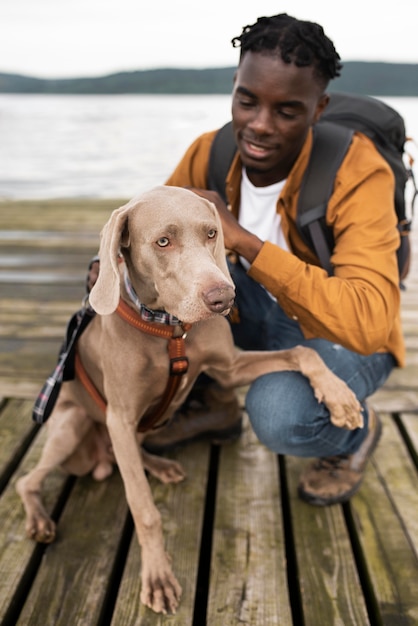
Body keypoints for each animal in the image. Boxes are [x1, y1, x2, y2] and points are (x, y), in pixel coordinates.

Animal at [16, 186, 362, 616]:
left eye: (212, 233)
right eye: (163, 241)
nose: (223, 297)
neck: (171, 330)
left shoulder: (229, 368)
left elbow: (304, 351)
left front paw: (340, 397)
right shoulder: (120, 417)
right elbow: (144, 508)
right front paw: (158, 577)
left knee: (127, 454)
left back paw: (160, 466)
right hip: (71, 426)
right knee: (29, 480)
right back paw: (40, 520)